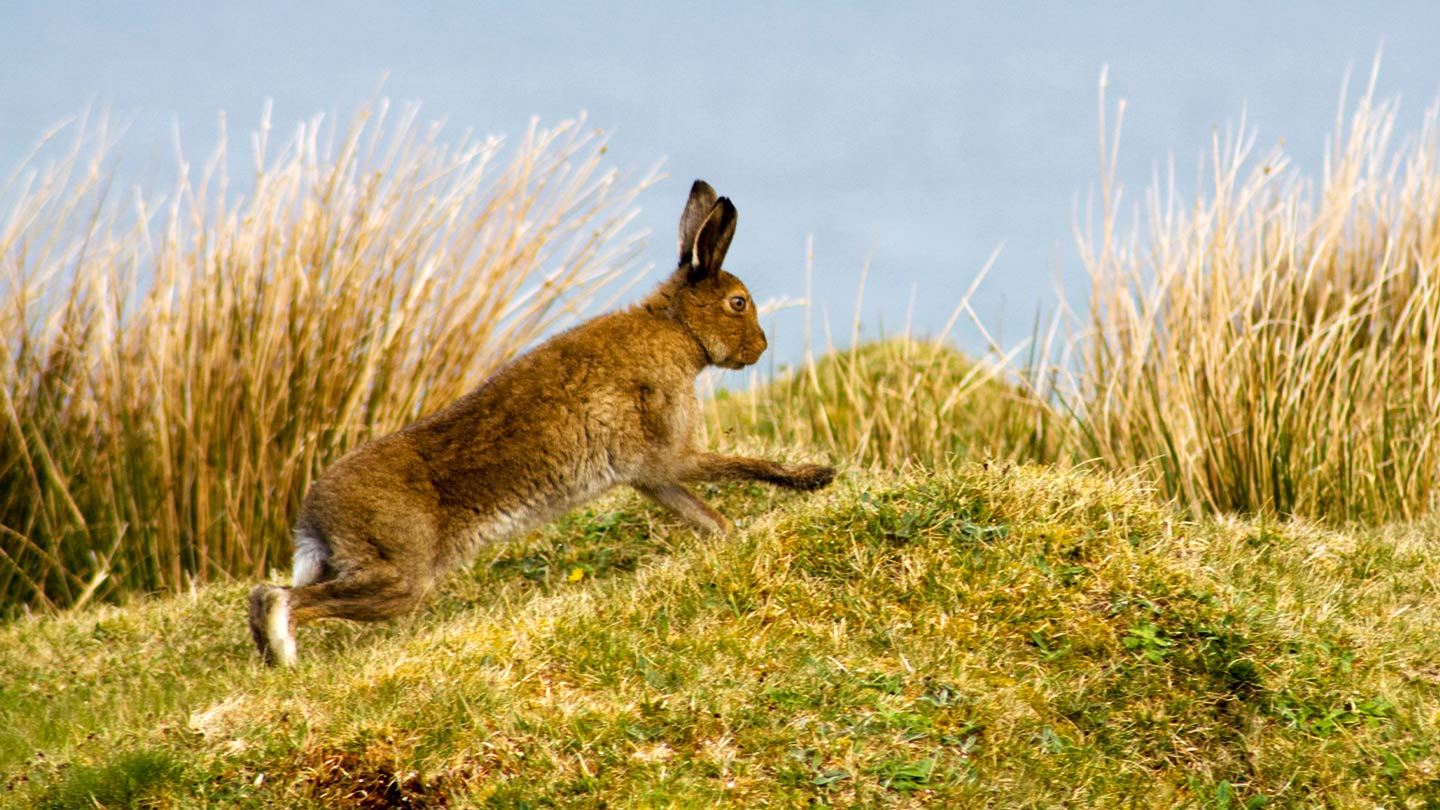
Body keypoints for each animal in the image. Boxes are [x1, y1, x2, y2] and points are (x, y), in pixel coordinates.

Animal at [249, 179, 837, 666]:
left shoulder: (650, 474)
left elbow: (704, 514)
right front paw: (815, 477)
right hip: (399, 576)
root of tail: (314, 517)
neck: (676, 332)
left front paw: (731, 537)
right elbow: (740, 465)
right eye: (738, 303)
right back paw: (286, 654)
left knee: (267, 593)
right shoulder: (669, 451)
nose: (760, 348)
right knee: (287, 599)